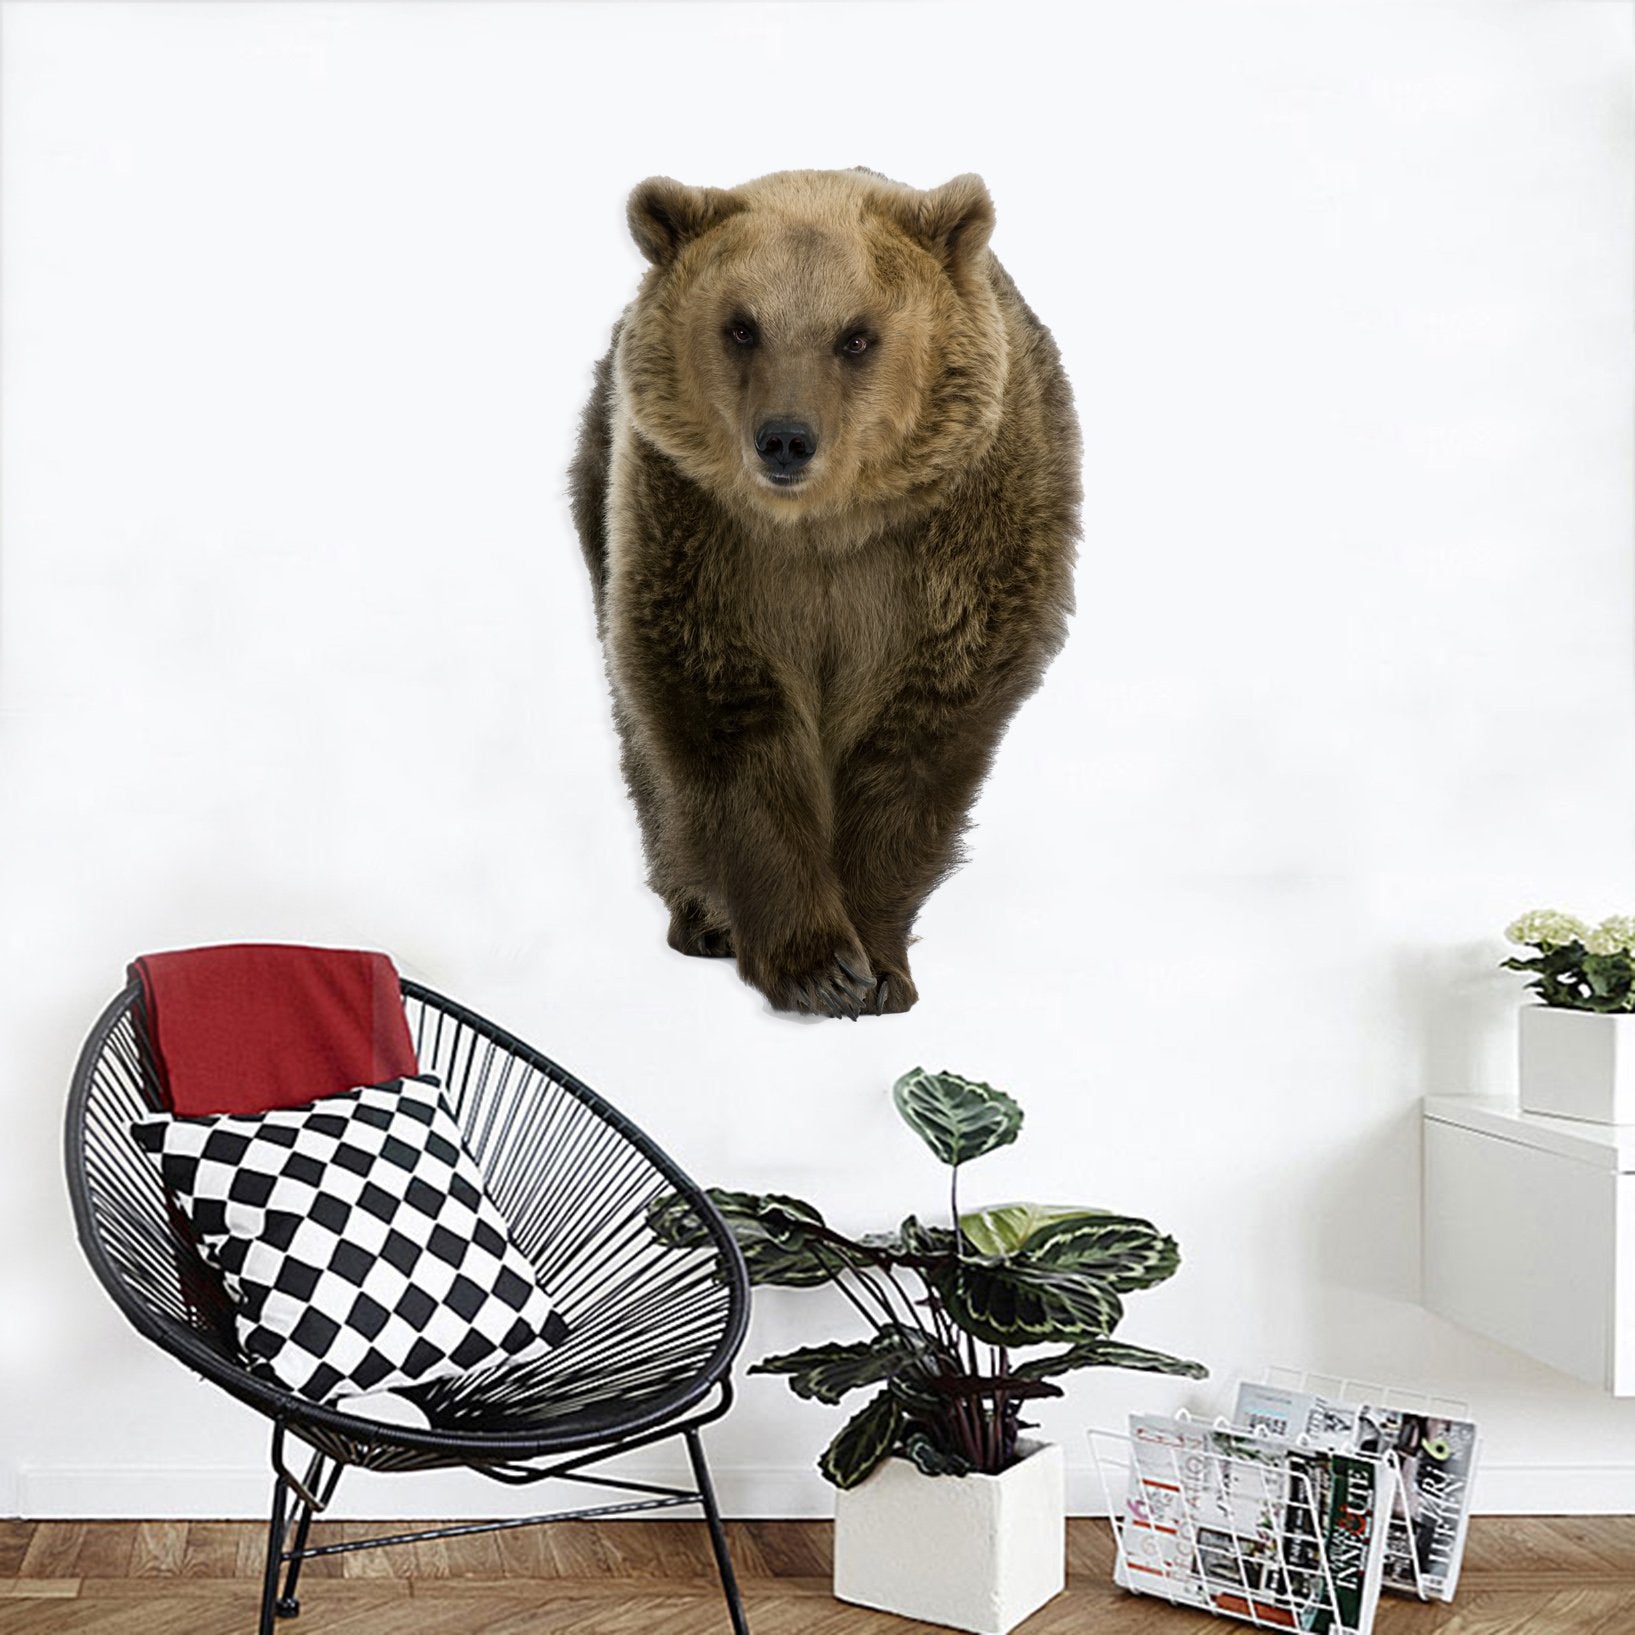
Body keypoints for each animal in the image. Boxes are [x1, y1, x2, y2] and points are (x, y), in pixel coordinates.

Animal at [569, 167, 1080, 1019]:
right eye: (742, 326)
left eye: (856, 336)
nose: (784, 438)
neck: (825, 527)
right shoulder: (701, 533)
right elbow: (725, 716)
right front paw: (813, 962)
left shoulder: (953, 547)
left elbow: (917, 739)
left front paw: (874, 964)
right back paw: (698, 913)